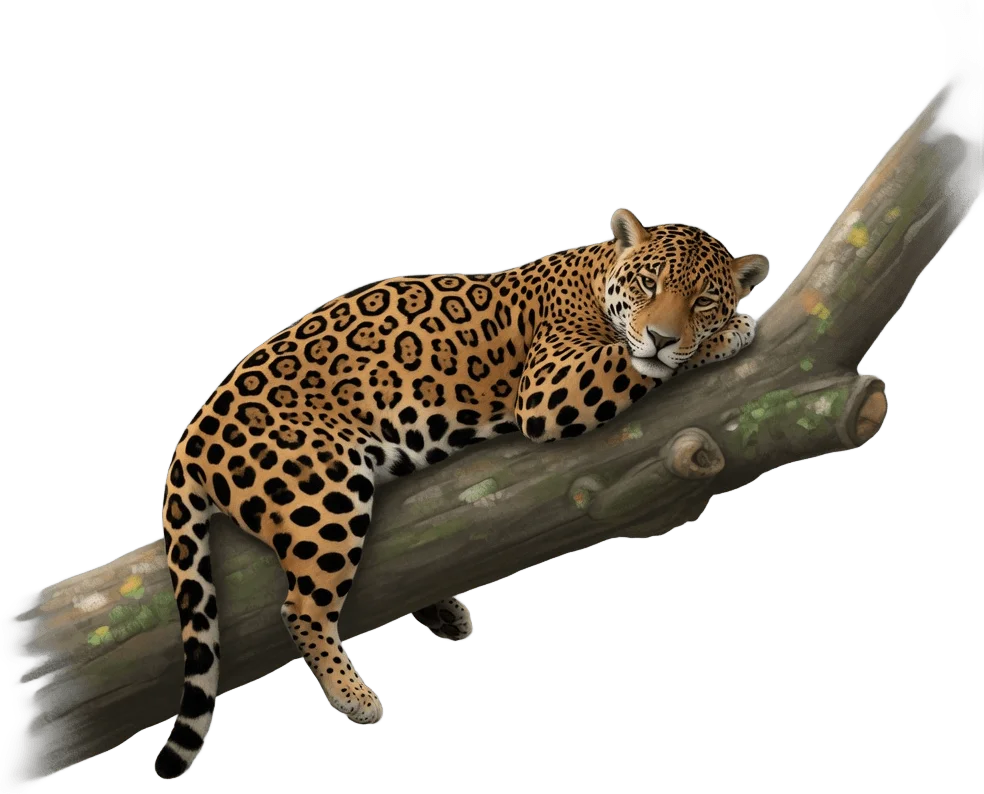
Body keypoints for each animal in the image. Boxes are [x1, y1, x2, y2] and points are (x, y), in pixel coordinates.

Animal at [153, 207, 770, 780]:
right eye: (648, 285)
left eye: (703, 301)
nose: (663, 337)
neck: (594, 273)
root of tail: (190, 436)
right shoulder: (551, 389)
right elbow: (635, 362)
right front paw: (730, 333)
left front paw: (713, 333)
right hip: (323, 493)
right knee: (300, 605)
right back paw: (354, 694)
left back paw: (445, 615)